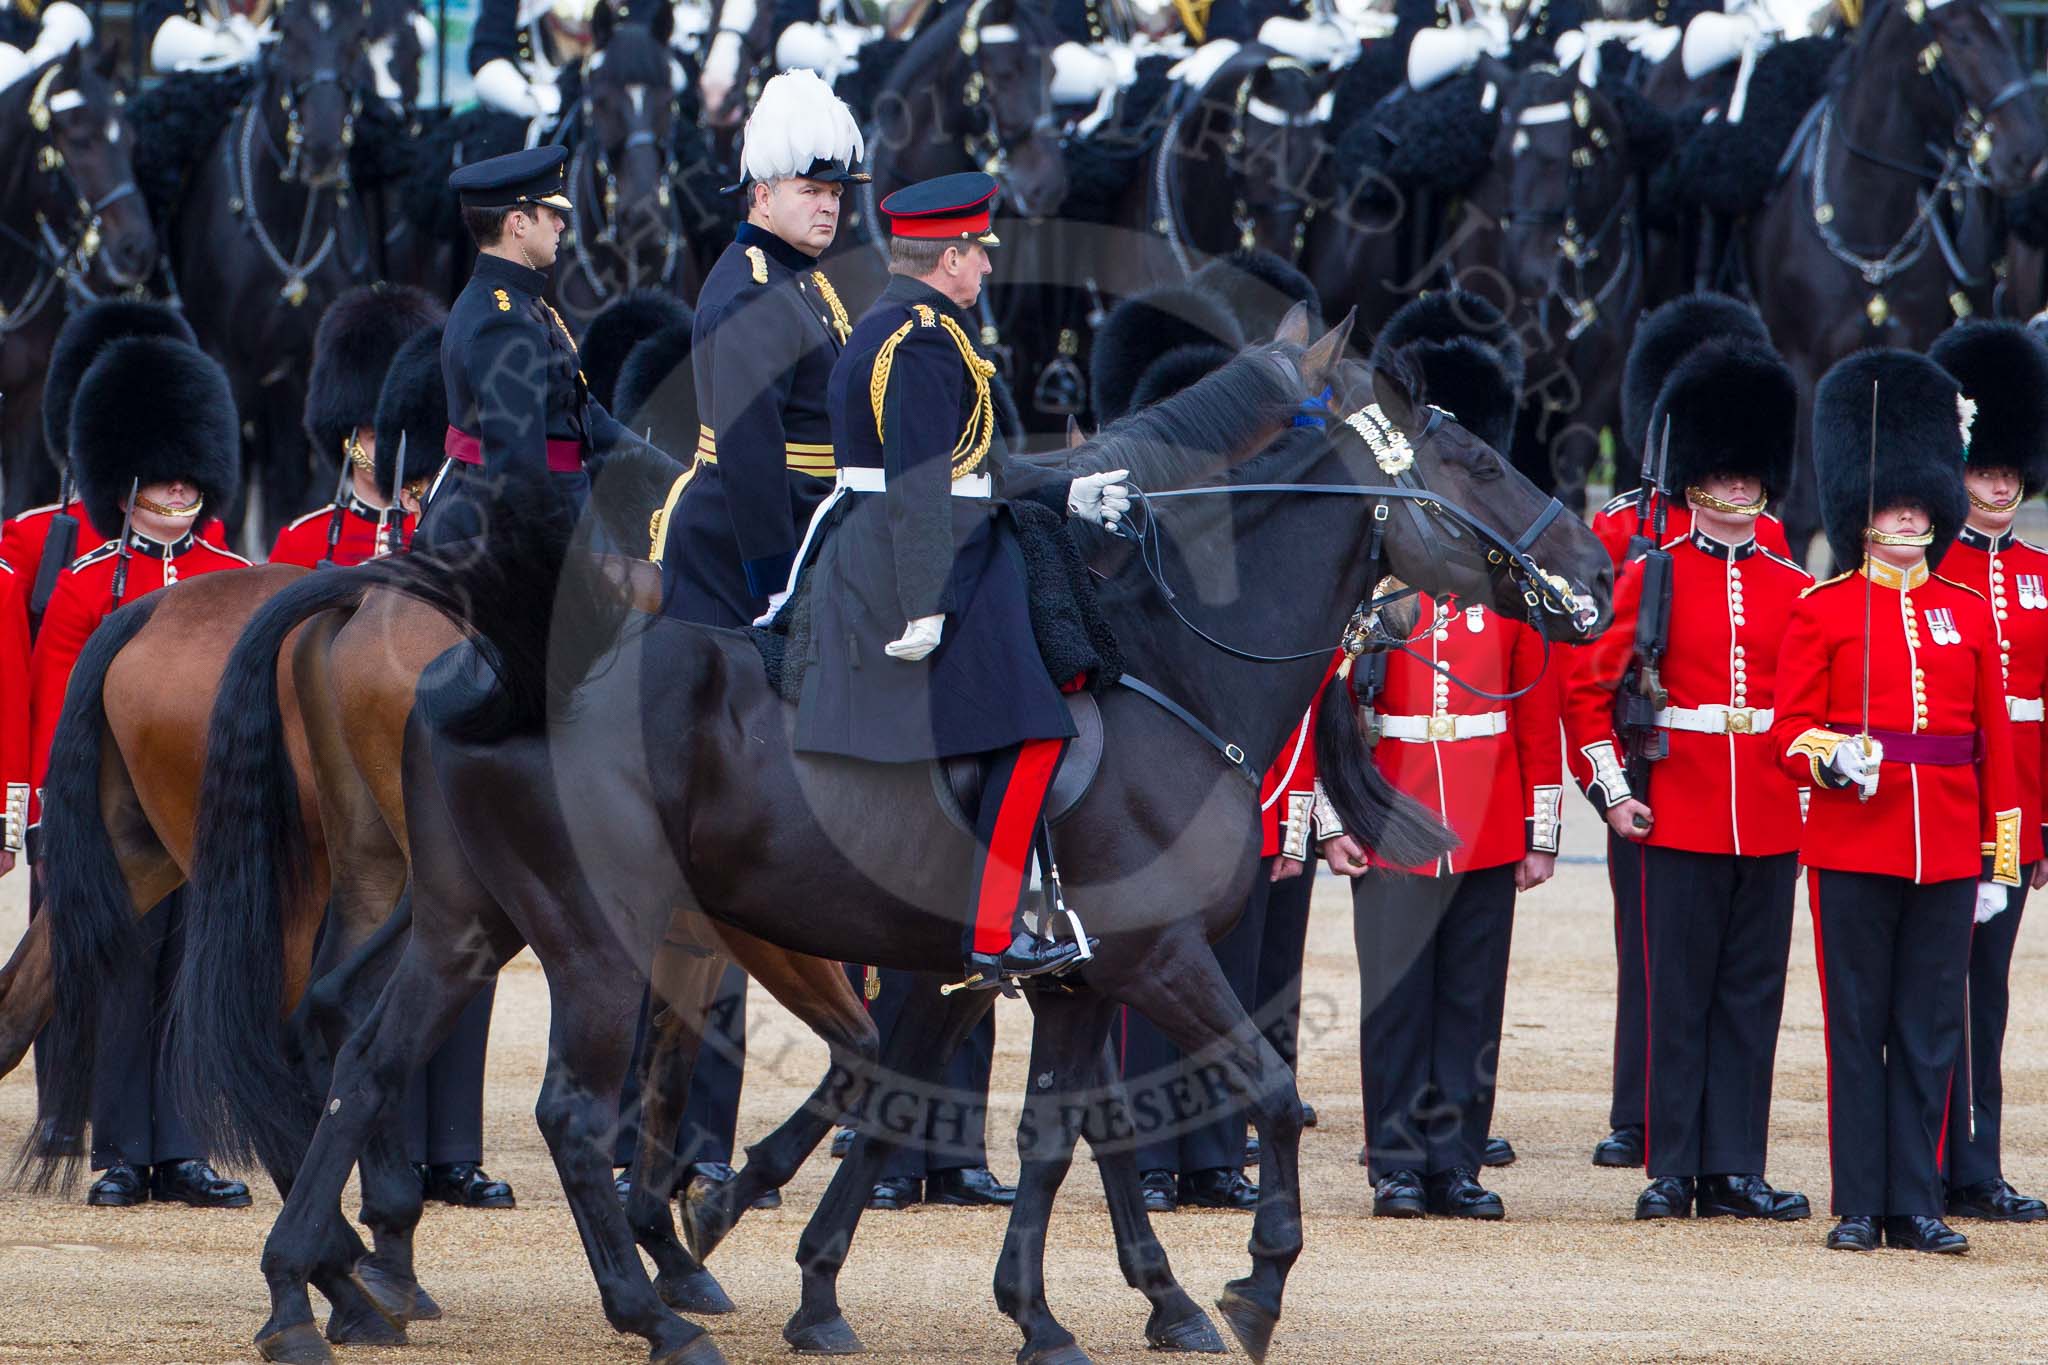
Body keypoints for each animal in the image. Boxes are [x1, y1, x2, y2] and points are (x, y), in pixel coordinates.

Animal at [165, 0, 382, 548]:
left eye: (359, 37)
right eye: (287, 35)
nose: (323, 148)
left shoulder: (311, 371)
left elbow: (305, 492)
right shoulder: (229, 364)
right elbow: (233, 496)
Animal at [172, 309, 1613, 1365]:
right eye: (1471, 459)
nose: (1596, 574)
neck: (1159, 661)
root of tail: (495, 652)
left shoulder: (1073, 973)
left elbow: (1049, 1131)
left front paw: (1063, 1309)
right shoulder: (1150, 957)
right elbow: (1263, 1093)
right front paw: (1246, 1286)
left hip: (468, 923)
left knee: (363, 1055)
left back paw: (312, 1291)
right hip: (595, 939)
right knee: (567, 1108)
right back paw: (633, 1307)